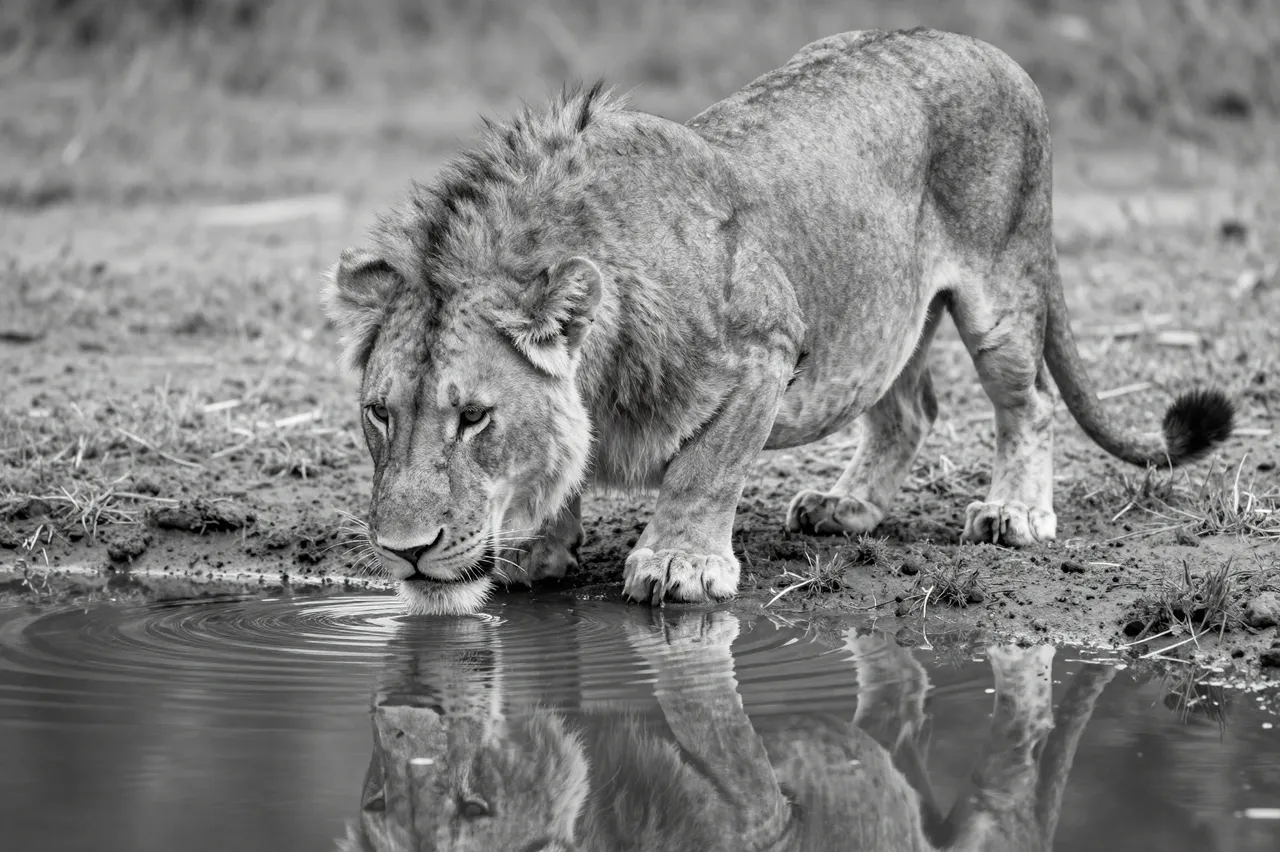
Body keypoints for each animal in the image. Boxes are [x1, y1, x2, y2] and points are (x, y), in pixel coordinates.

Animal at [322, 27, 1234, 615]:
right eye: (379, 413)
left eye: (474, 417)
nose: (404, 550)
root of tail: (992, 47)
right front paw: (536, 548)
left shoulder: (765, 350)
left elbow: (705, 471)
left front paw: (679, 564)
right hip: (882, 314)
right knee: (909, 410)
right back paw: (846, 506)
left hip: (1001, 291)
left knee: (1030, 402)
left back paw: (1014, 515)